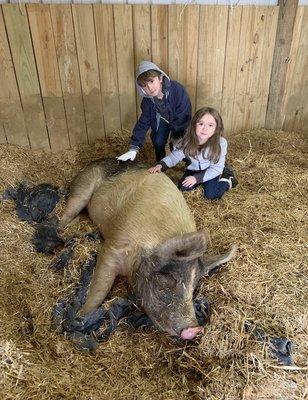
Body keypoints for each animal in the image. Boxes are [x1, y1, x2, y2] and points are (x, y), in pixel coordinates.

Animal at [58, 158, 236, 340]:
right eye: (169, 276)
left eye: (194, 287)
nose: (195, 329)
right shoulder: (112, 248)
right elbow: (100, 287)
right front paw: (81, 316)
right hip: (83, 188)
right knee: (64, 217)